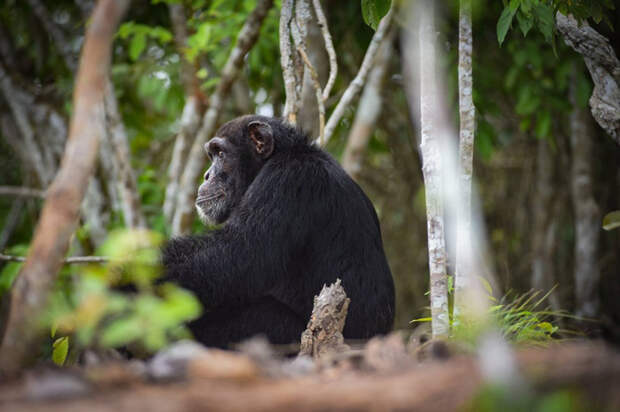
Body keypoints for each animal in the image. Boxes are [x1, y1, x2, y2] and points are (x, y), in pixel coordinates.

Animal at [162, 115, 394, 348]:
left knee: (260, 314)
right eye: (211, 155)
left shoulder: (287, 181)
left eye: (220, 154)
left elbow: (237, 255)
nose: (207, 175)